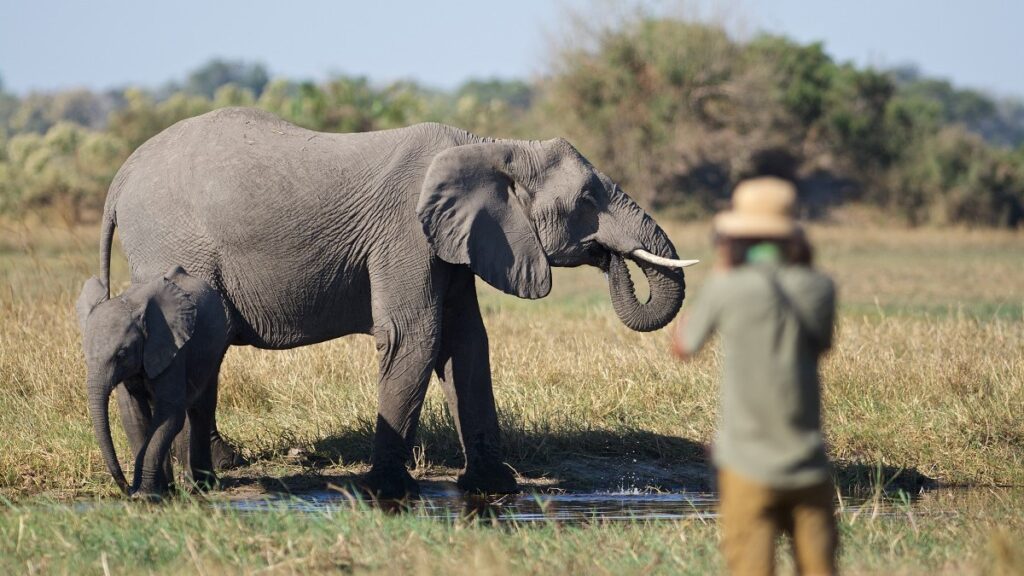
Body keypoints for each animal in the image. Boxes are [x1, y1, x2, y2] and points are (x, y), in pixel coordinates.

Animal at [77, 264, 234, 494]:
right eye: (85, 355)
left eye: (121, 354)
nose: (126, 488)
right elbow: (134, 416)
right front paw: (153, 491)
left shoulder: (173, 348)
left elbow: (169, 414)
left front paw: (145, 494)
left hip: (214, 346)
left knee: (200, 407)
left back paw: (203, 485)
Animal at [96, 108, 696, 498]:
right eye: (588, 199)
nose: (611, 257)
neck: (489, 145)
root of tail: (120, 176)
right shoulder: (406, 235)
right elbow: (416, 336)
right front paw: (386, 492)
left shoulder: (453, 242)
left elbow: (467, 344)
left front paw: (494, 487)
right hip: (172, 246)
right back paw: (182, 481)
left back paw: (208, 472)